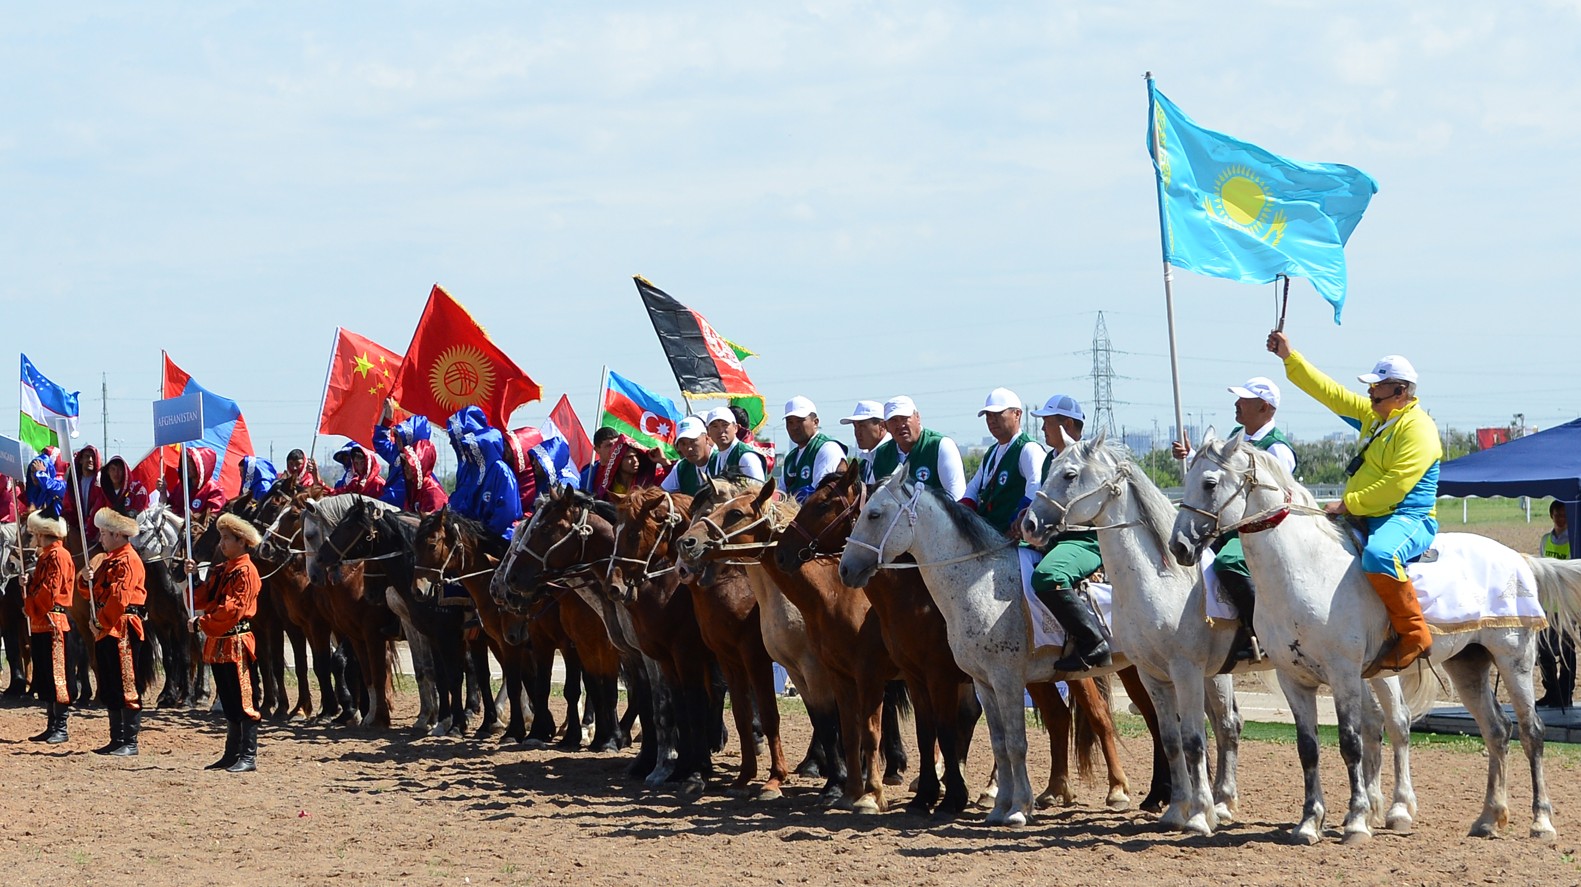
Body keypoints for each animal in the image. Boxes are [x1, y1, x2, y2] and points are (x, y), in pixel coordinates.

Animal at [1018, 433, 1252, 834]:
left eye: (1069, 474)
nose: (1030, 524)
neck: (1162, 581)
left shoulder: (1186, 670)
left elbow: (1193, 739)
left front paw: (1197, 817)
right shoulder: (1152, 674)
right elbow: (1171, 738)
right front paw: (1177, 811)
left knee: (1227, 726)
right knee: (1225, 726)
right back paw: (1221, 803)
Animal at [1169, 433, 1574, 841]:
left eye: (1209, 482)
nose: (1179, 546)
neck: (1305, 569)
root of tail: (1518, 558)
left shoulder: (1344, 674)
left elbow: (1351, 743)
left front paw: (1357, 819)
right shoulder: (1293, 678)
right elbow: (1308, 749)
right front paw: (1309, 822)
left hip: (1514, 660)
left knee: (1531, 732)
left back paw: (1541, 821)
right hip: (1467, 666)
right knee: (1496, 731)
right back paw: (1489, 817)